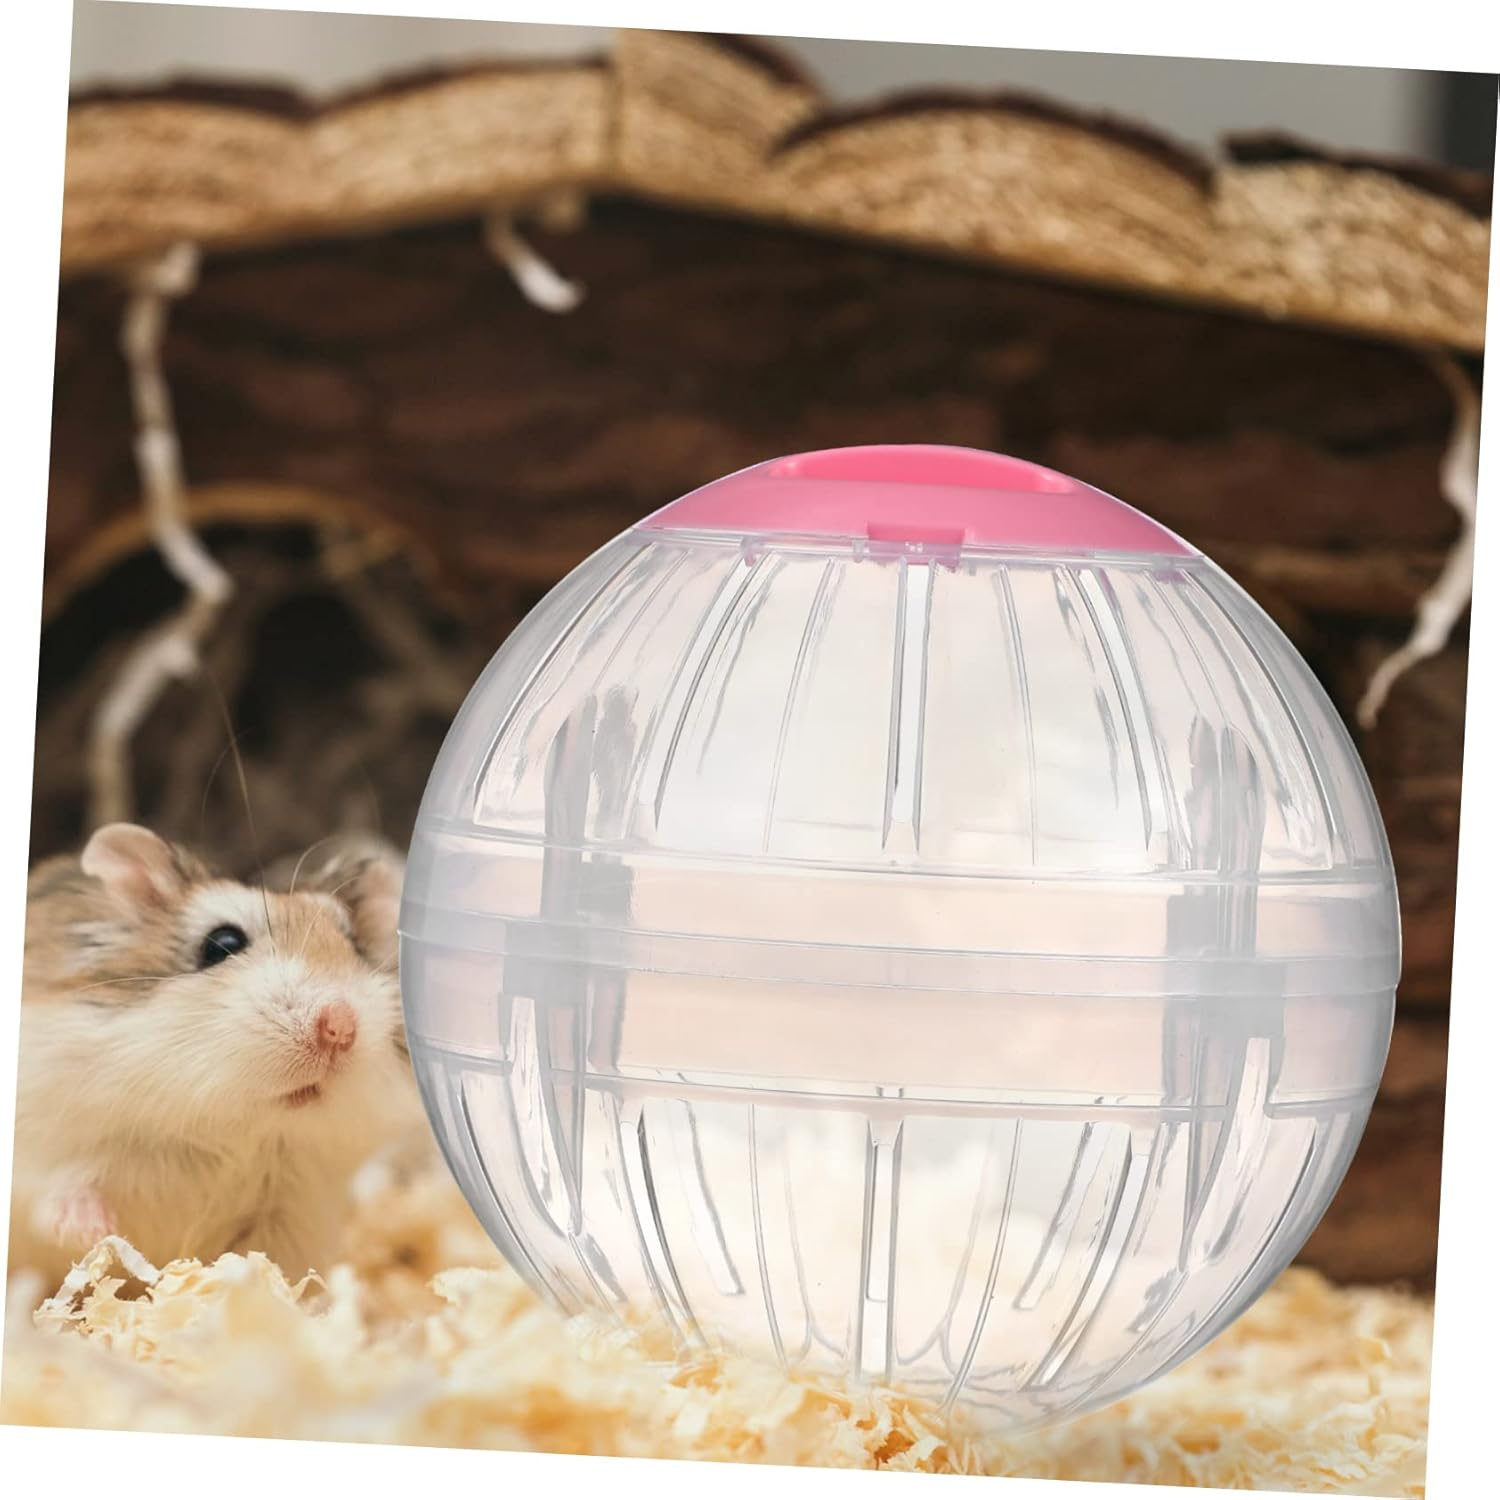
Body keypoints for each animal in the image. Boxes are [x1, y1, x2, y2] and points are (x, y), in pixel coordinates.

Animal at [9, 823, 423, 1290]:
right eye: (222, 943)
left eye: (353, 945)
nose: (340, 1027)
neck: (232, 1129)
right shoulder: (43, 1146)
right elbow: (61, 1189)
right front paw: (94, 1233)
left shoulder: (291, 1215)